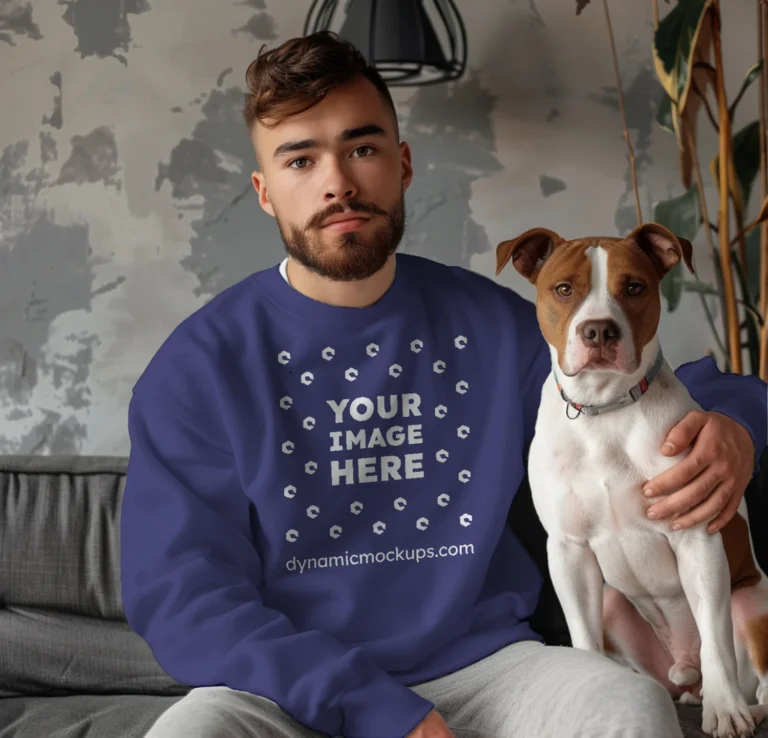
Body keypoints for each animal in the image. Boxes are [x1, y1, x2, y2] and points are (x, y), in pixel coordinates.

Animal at [496, 221, 768, 732]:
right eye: (564, 289)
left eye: (635, 288)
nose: (599, 329)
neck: (605, 410)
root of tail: (684, 671)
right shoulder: (569, 551)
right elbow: (582, 639)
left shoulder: (696, 537)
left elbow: (716, 639)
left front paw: (725, 712)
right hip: (613, 604)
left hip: (752, 604)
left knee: (752, 674)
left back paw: (741, 705)